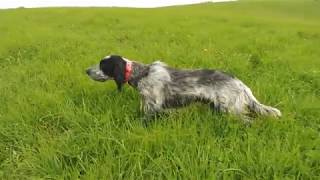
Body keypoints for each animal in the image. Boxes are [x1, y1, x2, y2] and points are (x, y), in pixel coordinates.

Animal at [86, 55, 282, 121]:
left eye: (102, 64)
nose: (86, 70)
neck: (142, 74)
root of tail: (241, 84)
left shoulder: (152, 107)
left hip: (230, 109)